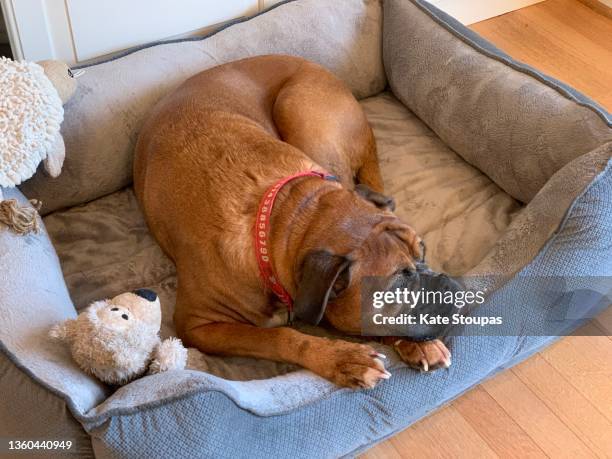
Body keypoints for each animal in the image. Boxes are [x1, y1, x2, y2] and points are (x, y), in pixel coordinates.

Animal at [136, 55, 456, 390]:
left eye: (424, 253)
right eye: (398, 284)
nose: (450, 286)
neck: (284, 220)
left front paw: (413, 343)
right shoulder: (198, 326)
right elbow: (278, 336)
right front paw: (341, 358)